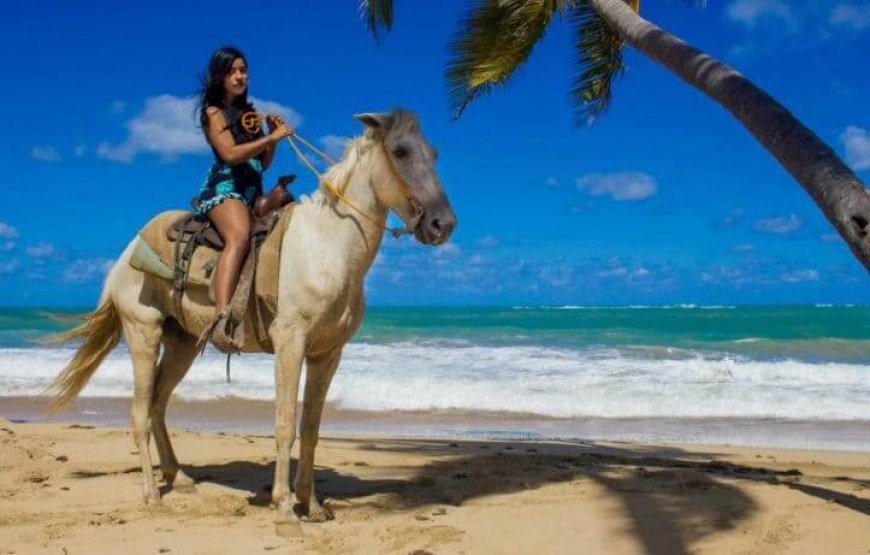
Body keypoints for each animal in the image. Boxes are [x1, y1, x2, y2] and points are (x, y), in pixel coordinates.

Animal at [49, 111, 456, 524]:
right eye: (400, 151)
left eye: (435, 153)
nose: (443, 225)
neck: (328, 246)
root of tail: (124, 256)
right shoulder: (290, 341)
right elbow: (285, 424)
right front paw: (284, 506)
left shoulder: (327, 353)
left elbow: (311, 428)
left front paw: (312, 505)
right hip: (142, 332)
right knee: (139, 412)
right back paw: (152, 494)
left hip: (181, 343)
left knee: (158, 405)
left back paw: (179, 477)